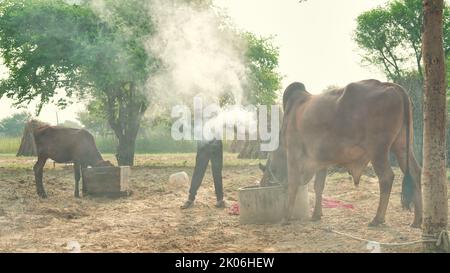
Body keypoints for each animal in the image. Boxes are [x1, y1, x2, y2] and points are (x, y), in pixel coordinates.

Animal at [260, 79, 422, 227]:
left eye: (267, 170)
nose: (262, 185)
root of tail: (390, 85)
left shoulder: (294, 153)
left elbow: (293, 184)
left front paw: (285, 217)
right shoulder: (320, 160)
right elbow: (318, 186)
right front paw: (316, 214)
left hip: (378, 151)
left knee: (386, 177)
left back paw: (378, 219)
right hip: (402, 147)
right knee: (415, 172)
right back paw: (417, 220)